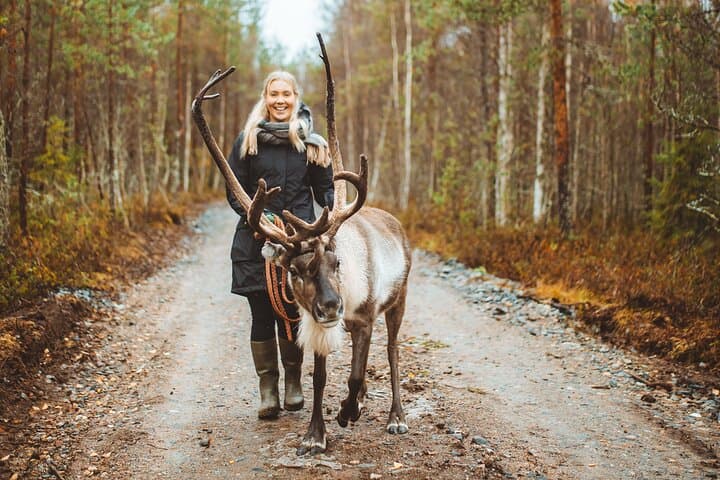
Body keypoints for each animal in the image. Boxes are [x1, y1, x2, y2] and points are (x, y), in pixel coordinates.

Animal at [191, 34, 411, 455]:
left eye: (336, 263)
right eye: (294, 269)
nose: (331, 305)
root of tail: (395, 222)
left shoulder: (363, 317)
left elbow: (355, 373)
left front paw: (346, 413)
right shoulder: (315, 321)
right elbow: (321, 379)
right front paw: (315, 434)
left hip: (399, 300)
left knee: (391, 352)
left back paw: (395, 417)